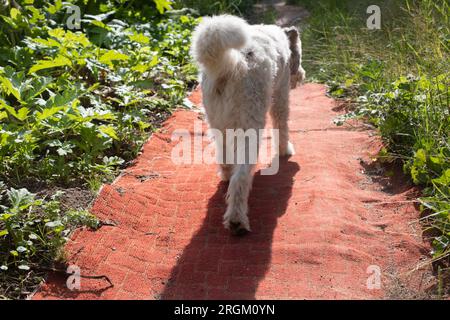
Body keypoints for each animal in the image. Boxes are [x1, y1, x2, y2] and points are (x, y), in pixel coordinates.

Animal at [190, 14, 306, 235]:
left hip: (218, 123)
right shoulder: (280, 95)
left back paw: (226, 178)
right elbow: (282, 126)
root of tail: (229, 65)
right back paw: (237, 221)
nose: (302, 75)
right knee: (241, 178)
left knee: (226, 162)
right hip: (250, 126)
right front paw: (285, 150)